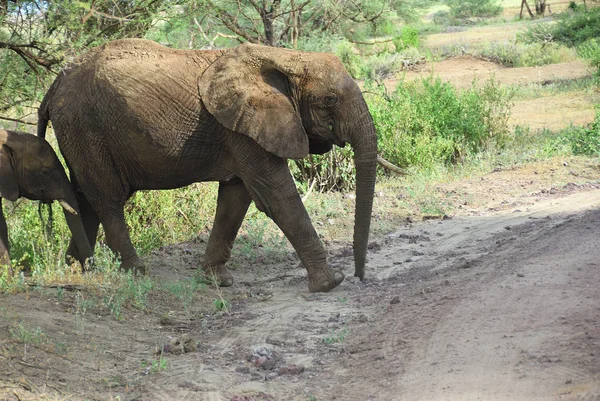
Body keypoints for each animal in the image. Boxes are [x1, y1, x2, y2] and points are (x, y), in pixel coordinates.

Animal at [36, 39, 376, 292]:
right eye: (330, 100)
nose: (359, 277)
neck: (285, 57)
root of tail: (52, 87)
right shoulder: (243, 127)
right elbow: (277, 196)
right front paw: (330, 283)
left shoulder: (241, 129)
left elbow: (236, 198)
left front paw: (217, 280)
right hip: (86, 127)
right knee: (108, 199)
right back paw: (136, 272)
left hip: (80, 133)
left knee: (84, 198)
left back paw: (78, 267)